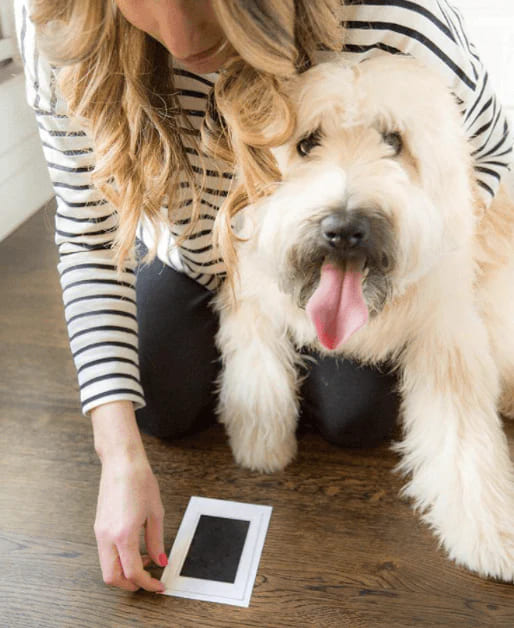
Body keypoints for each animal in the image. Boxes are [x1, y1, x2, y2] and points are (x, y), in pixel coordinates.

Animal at [214, 56, 512, 580]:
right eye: (307, 143)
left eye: (394, 141)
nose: (344, 229)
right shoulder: (251, 284)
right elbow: (256, 362)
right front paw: (262, 441)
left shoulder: (446, 331)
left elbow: (463, 434)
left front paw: (486, 528)